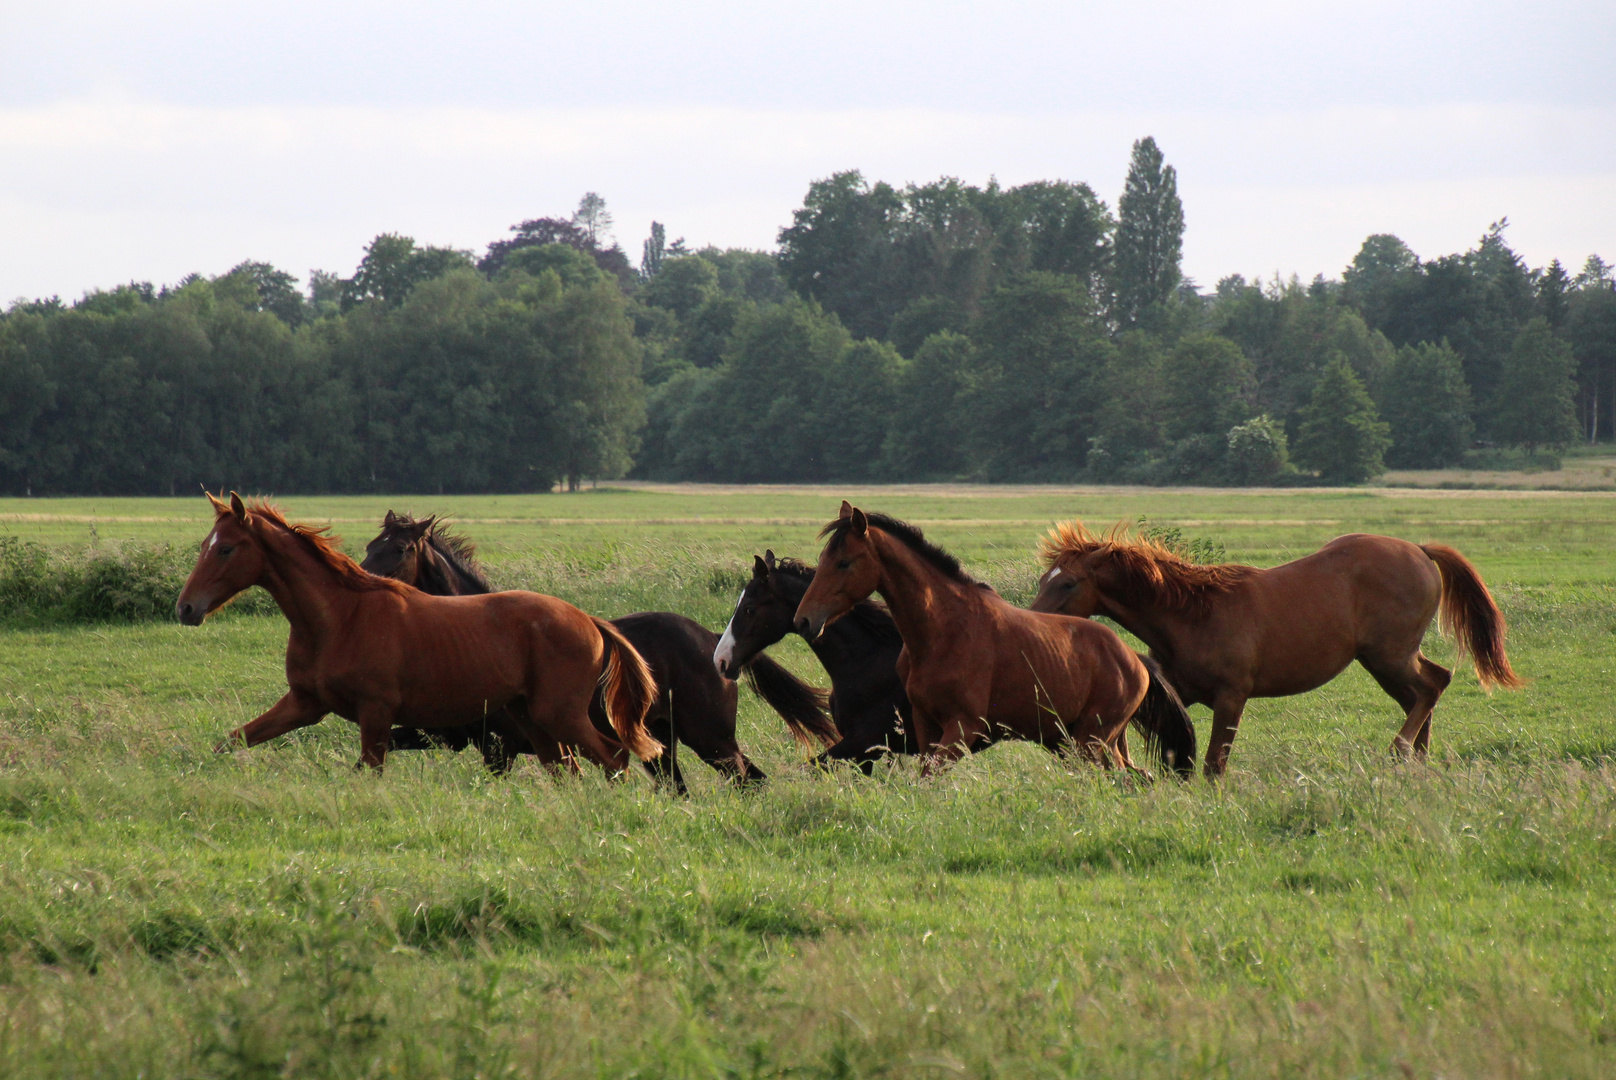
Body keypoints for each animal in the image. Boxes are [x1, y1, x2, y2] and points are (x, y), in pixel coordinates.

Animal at [173, 494, 659, 779]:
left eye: (226, 548)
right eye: (205, 545)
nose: (186, 608)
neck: (338, 620)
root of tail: (590, 621)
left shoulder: (377, 713)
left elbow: (367, 772)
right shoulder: (304, 704)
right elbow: (231, 740)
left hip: (559, 714)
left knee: (614, 757)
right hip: (534, 720)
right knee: (569, 769)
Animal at [361, 510, 840, 788]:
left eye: (400, 549)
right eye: (369, 546)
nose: (363, 578)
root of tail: (713, 643)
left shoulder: (498, 746)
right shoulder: (450, 734)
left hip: (711, 738)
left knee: (749, 779)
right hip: (663, 743)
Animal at [788, 504, 1195, 776]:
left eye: (843, 562)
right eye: (823, 558)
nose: (804, 620)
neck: (942, 631)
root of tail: (1135, 660)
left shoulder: (963, 728)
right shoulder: (925, 725)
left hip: (1090, 741)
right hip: (1097, 742)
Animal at [1027, 520, 1519, 776]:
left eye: (1068, 583)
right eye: (1045, 579)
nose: (1035, 618)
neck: (1192, 615)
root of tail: (1419, 549)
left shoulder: (1232, 696)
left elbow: (1215, 762)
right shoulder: (1180, 688)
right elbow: (1135, 720)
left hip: (1389, 655)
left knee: (1432, 687)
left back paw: (1400, 752)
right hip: (1385, 661)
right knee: (1424, 691)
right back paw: (1418, 762)